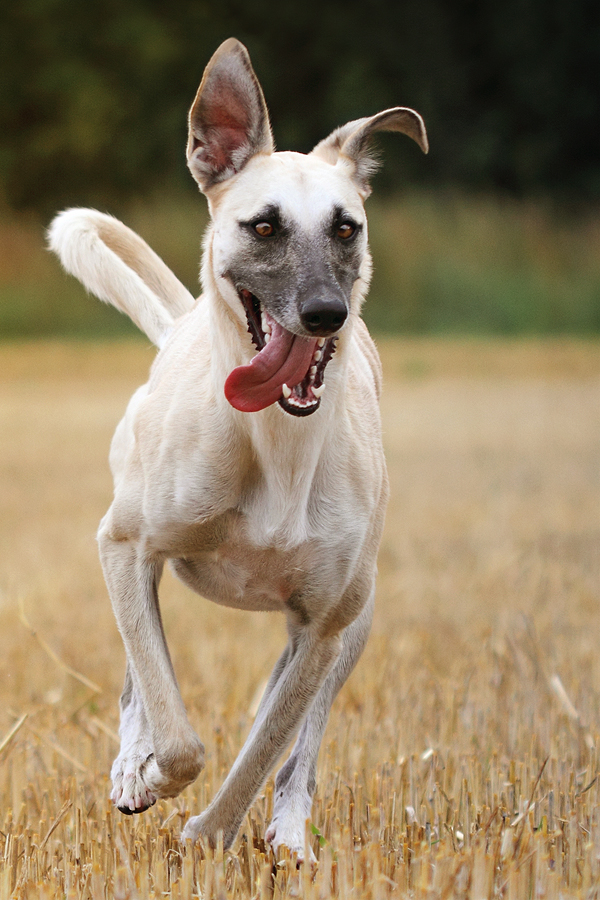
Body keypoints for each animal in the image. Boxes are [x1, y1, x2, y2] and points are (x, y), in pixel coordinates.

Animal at [48, 38, 426, 860]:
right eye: (263, 226)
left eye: (346, 228)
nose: (325, 313)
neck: (276, 446)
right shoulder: (124, 545)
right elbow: (177, 729)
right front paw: (152, 776)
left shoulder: (324, 624)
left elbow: (268, 742)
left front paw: (208, 833)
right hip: (135, 552)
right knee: (138, 674)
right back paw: (133, 765)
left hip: (357, 619)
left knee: (298, 744)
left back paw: (289, 834)